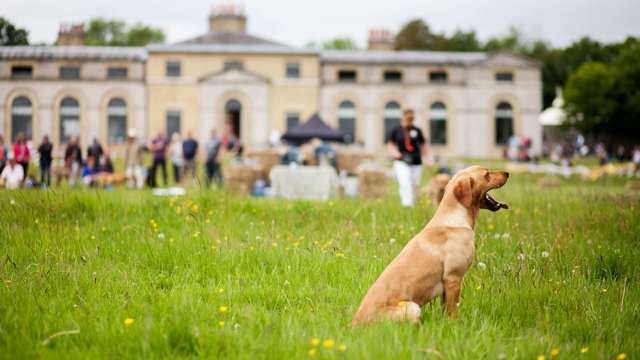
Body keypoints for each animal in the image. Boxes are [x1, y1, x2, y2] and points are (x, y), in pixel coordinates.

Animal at [350, 166, 510, 326]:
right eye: (487, 174)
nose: (507, 173)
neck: (455, 218)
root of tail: (355, 324)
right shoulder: (453, 278)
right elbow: (453, 312)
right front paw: (455, 326)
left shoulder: (447, 285)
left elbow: (446, 310)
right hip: (412, 307)